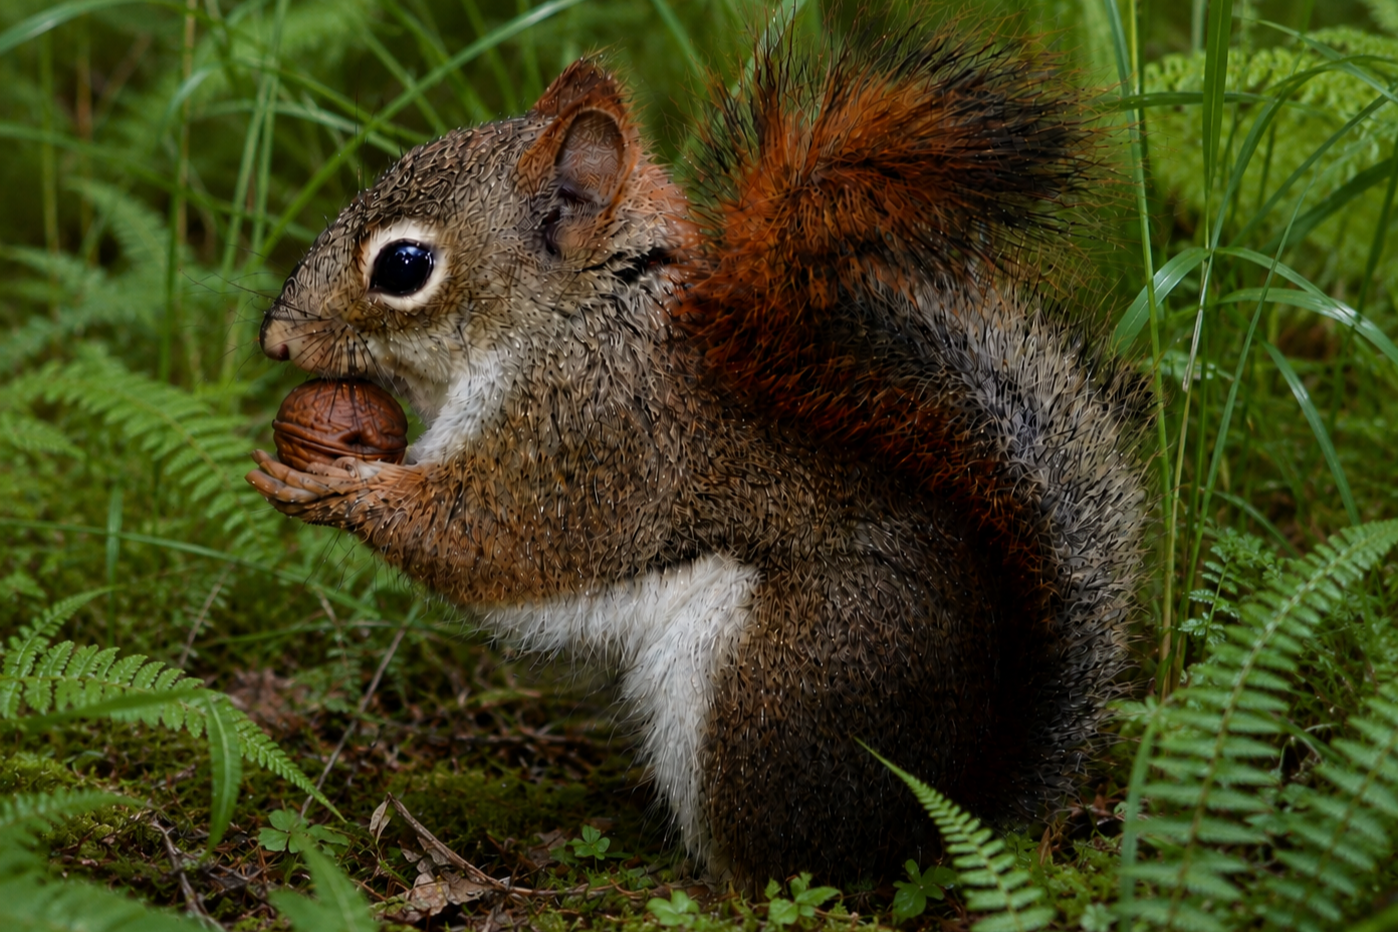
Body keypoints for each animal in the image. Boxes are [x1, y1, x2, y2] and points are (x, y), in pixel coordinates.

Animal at [247, 24, 1149, 885]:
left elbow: (491, 537)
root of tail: (942, 816)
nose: (276, 341)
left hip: (762, 686)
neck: (570, 321)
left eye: (404, 266)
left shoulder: (590, 440)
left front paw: (332, 484)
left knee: (787, 863)